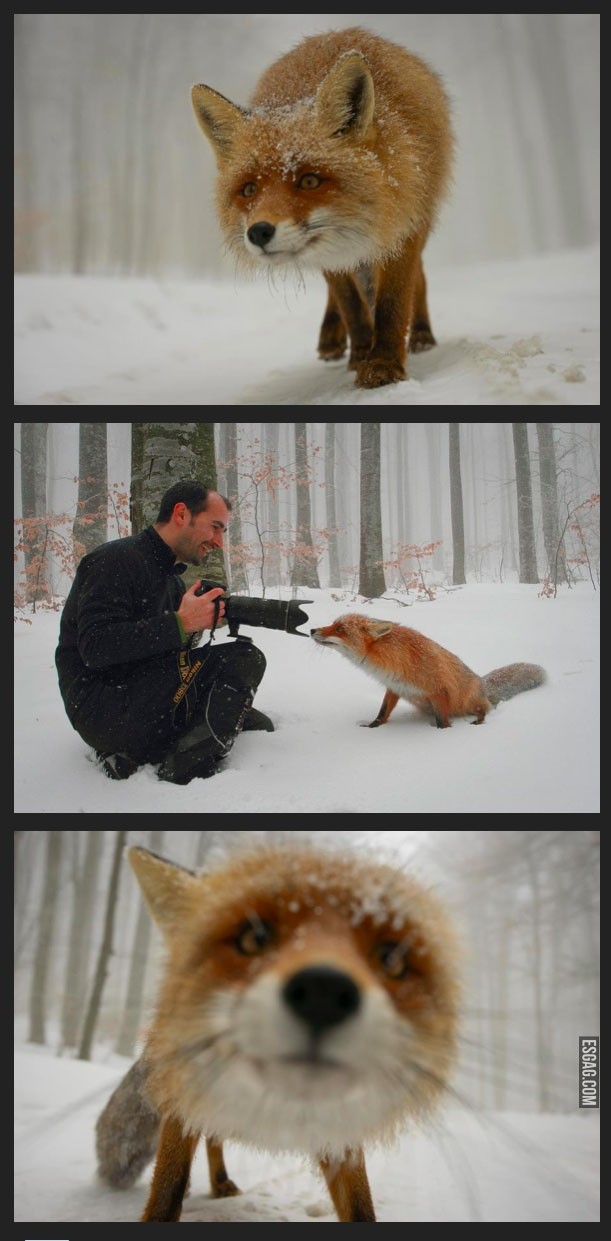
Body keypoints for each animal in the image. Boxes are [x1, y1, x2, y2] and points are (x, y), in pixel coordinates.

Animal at [94, 838, 457, 1226]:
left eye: (388, 958)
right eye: (252, 939)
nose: (323, 993)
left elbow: (360, 1206)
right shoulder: (183, 1093)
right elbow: (169, 1186)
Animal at [191, 27, 454, 387]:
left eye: (309, 181)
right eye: (249, 189)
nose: (259, 232)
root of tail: (341, 31)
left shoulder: (401, 225)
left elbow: (392, 301)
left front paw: (384, 364)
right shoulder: (331, 254)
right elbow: (351, 304)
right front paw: (361, 354)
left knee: (419, 279)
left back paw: (422, 335)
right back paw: (334, 339)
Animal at [312, 618, 546, 729]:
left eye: (340, 629)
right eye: (333, 623)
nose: (312, 630)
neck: (393, 658)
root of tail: (482, 682)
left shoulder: (438, 690)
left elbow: (443, 722)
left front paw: (441, 735)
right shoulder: (394, 687)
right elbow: (382, 712)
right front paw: (372, 727)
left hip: (468, 702)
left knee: (485, 710)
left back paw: (479, 722)